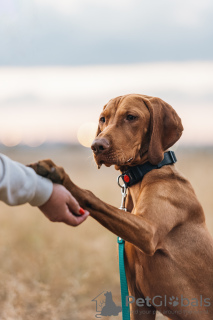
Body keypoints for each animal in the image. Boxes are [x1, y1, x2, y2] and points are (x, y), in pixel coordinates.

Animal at [29, 94, 213, 318]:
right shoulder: (139, 300)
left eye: (131, 117)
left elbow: (91, 196)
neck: (144, 174)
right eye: (103, 119)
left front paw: (60, 176)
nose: (96, 146)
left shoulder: (148, 232)